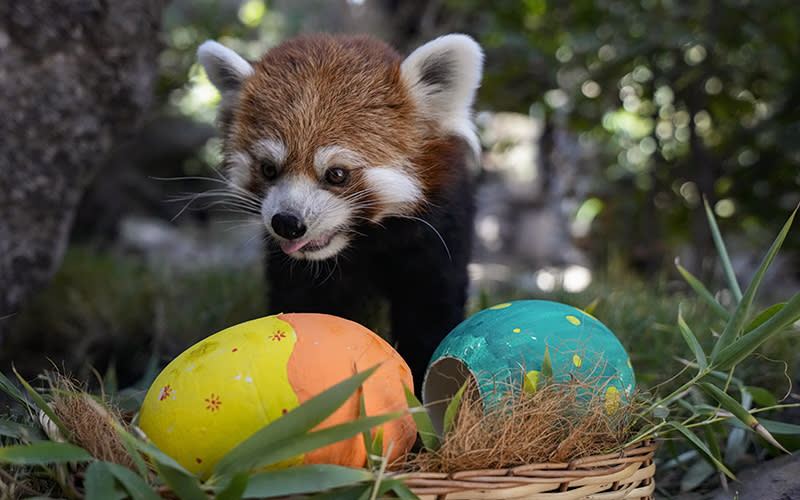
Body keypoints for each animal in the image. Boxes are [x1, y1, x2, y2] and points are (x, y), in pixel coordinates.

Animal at [197, 33, 484, 392]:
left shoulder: (439, 232)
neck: (361, 243)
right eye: (268, 169)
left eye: (337, 174)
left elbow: (430, 309)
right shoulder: (295, 270)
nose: (287, 223)